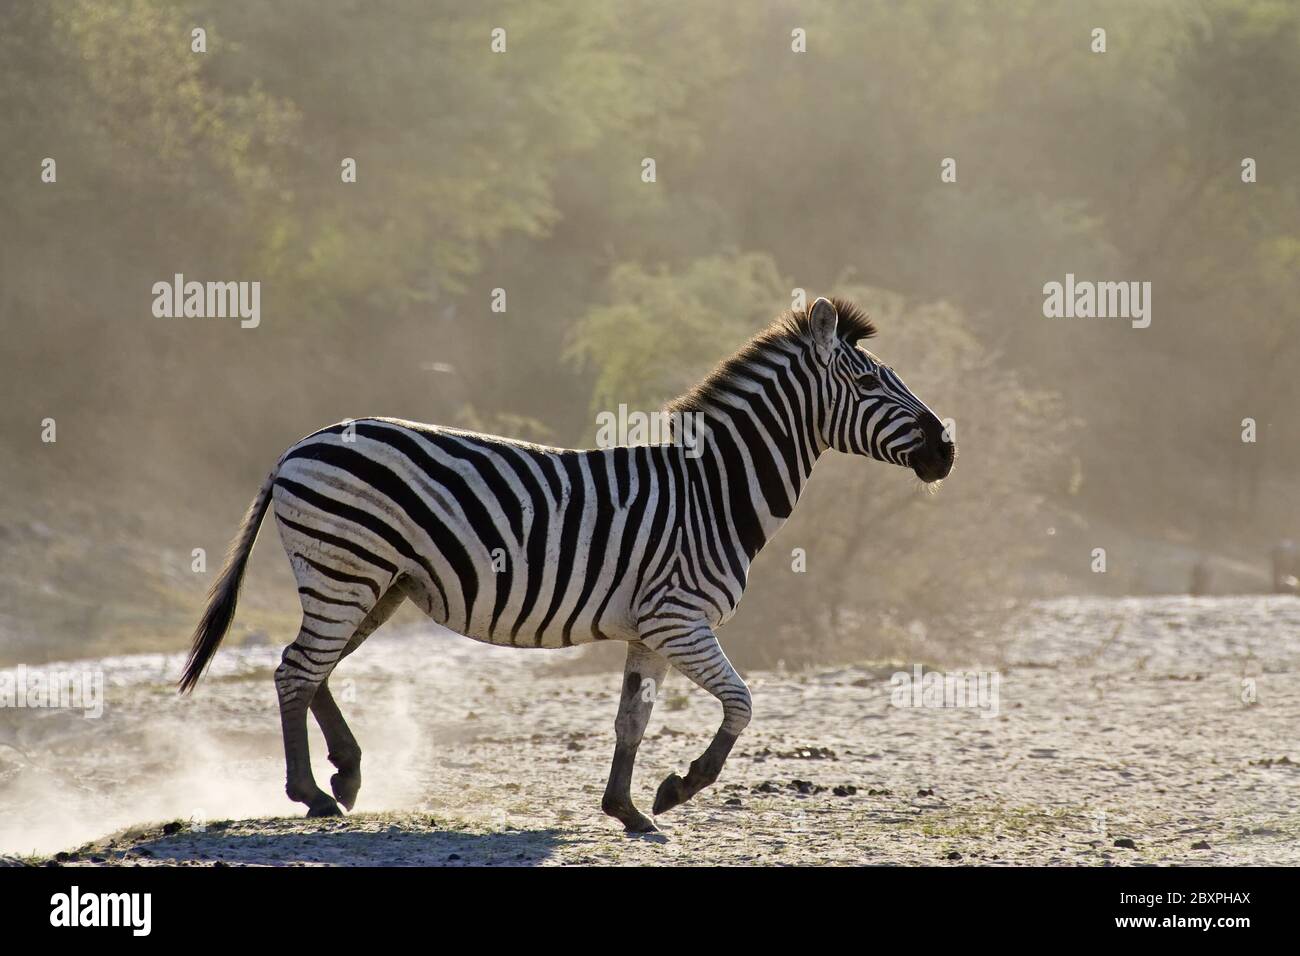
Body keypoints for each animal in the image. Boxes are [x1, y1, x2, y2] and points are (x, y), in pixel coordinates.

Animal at [178, 297, 956, 832]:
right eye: (871, 384)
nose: (947, 448)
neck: (712, 492)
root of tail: (296, 447)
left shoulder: (651, 629)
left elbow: (631, 721)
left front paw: (627, 810)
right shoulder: (680, 618)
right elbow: (741, 702)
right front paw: (681, 787)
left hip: (377, 582)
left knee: (312, 668)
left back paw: (344, 775)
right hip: (348, 568)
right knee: (296, 670)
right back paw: (311, 794)